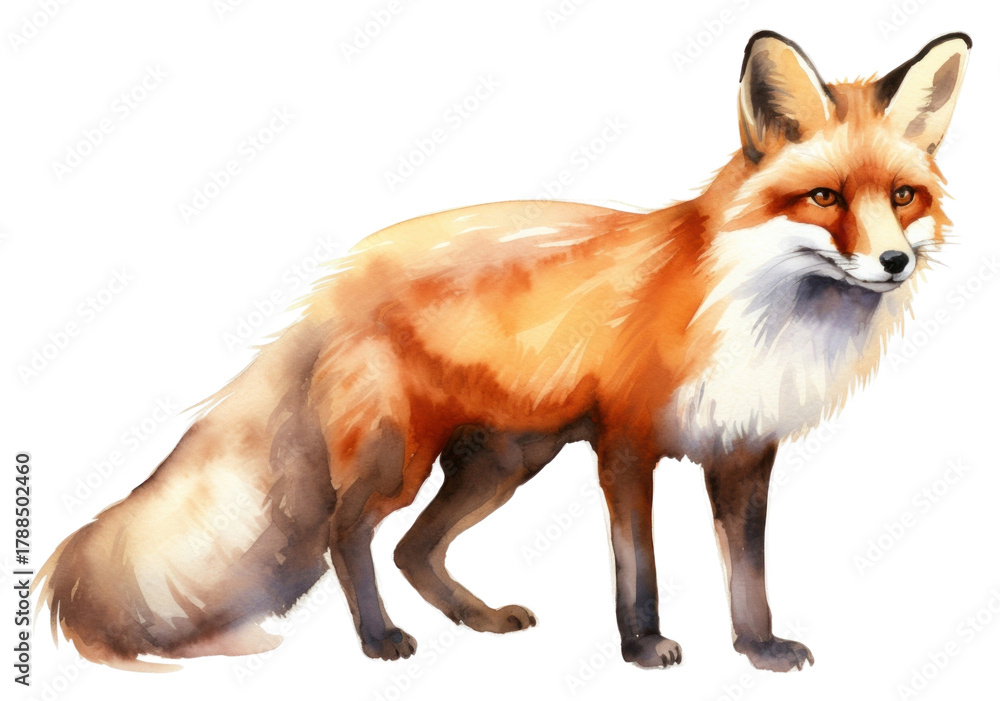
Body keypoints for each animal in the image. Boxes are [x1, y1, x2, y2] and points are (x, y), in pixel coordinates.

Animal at [36, 30, 970, 673]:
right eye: (824, 198)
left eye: (902, 196)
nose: (893, 261)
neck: (757, 310)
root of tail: (338, 282)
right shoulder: (625, 445)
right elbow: (639, 569)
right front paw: (643, 647)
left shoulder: (742, 453)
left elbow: (749, 573)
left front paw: (759, 648)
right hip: (403, 461)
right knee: (348, 535)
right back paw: (379, 637)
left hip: (503, 463)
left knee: (414, 549)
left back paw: (476, 620)